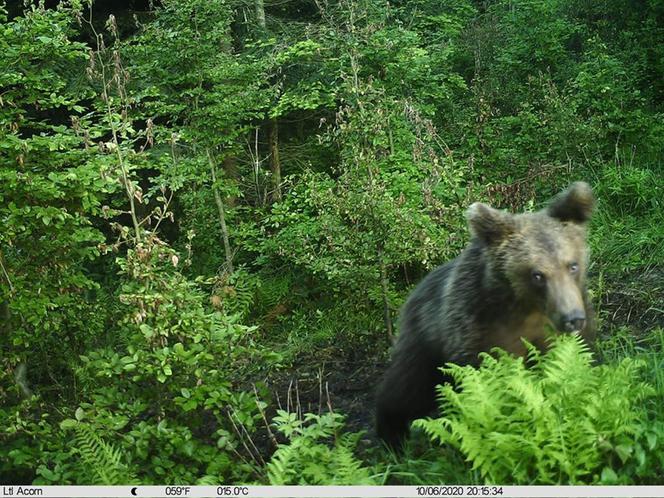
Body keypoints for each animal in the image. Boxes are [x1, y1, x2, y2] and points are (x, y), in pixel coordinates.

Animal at [376, 182, 600, 448]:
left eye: (572, 265)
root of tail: (416, 290)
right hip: (424, 337)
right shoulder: (478, 327)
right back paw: (390, 432)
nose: (572, 318)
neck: (527, 310)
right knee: (408, 384)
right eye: (537, 275)